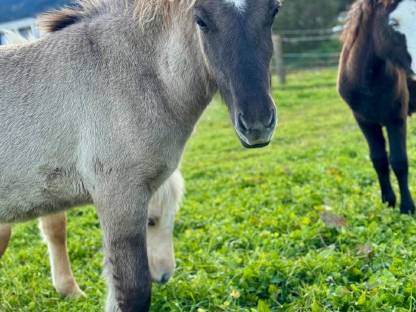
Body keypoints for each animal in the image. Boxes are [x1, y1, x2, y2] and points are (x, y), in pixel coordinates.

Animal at [338, 0, 416, 214]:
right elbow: (379, 159)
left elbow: (399, 161)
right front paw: (388, 201)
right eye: (393, 23)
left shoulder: (396, 118)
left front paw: (407, 207)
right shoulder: (364, 121)